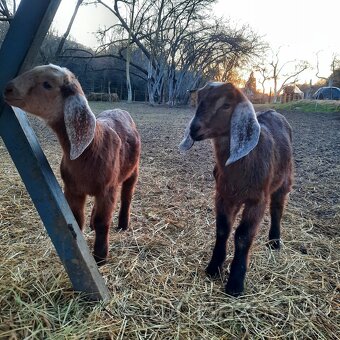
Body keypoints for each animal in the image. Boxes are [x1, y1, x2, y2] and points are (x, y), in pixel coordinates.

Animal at [3, 64, 141, 266]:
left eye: (47, 84)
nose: (8, 89)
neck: (90, 149)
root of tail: (118, 108)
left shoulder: (107, 189)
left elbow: (103, 222)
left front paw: (100, 257)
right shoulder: (72, 188)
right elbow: (77, 219)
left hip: (134, 170)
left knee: (127, 196)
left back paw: (123, 224)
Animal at [179, 82, 294, 298]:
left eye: (226, 105)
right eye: (199, 99)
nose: (193, 129)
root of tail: (274, 111)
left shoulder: (257, 200)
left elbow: (243, 235)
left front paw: (235, 283)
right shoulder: (223, 195)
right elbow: (222, 229)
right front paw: (214, 267)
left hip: (284, 180)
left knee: (277, 208)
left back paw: (275, 241)